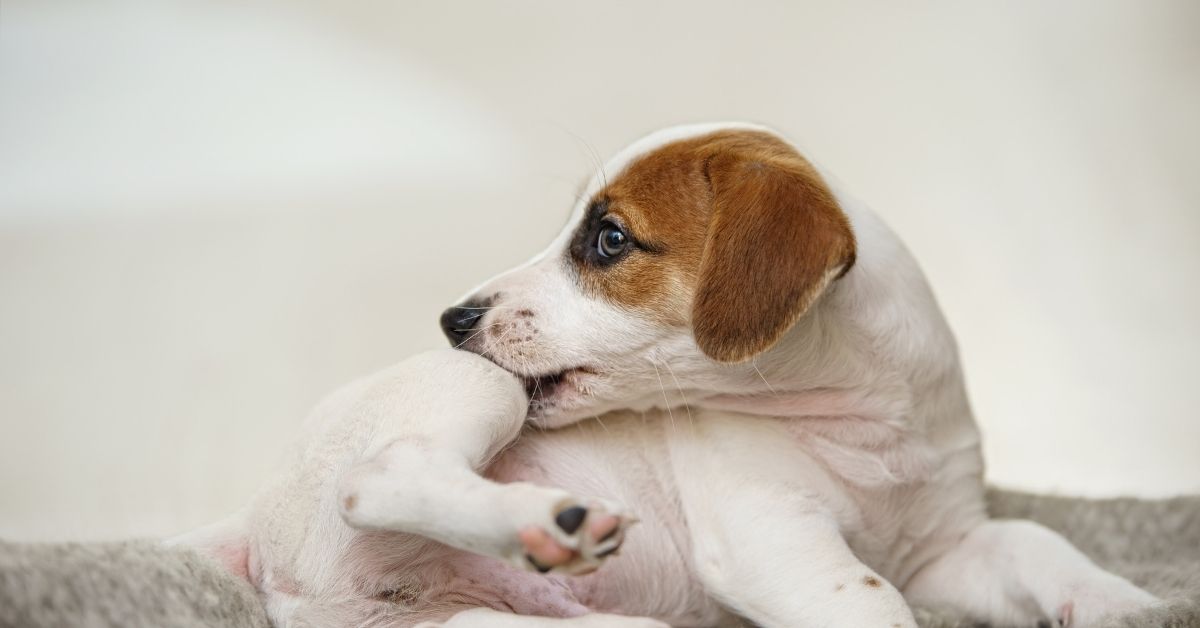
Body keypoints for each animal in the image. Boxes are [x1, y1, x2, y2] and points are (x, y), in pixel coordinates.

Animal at [182, 123, 1156, 628]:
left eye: (609, 239)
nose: (453, 321)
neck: (861, 426)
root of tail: (254, 521)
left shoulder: (946, 549)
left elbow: (1038, 544)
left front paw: (1121, 602)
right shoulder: (771, 537)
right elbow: (874, 605)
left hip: (480, 624)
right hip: (476, 397)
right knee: (379, 477)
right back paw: (547, 521)